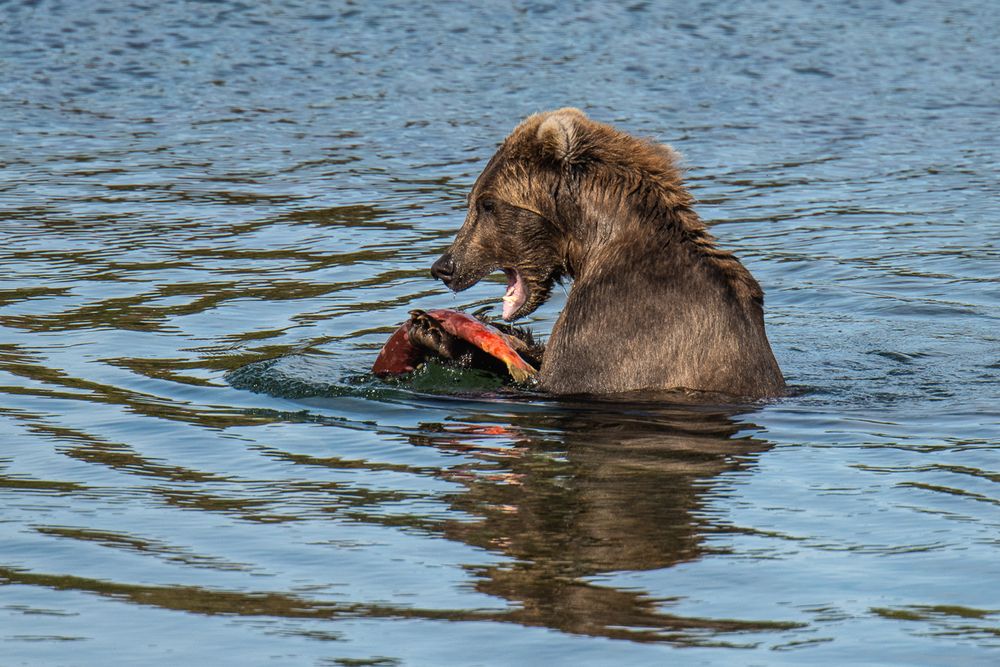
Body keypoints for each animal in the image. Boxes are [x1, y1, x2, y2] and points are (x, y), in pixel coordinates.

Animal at [422, 105, 780, 396]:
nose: (444, 266)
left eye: (487, 204)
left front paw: (441, 336)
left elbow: (561, 376)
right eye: (475, 200)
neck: (591, 243)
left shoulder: (615, 323)